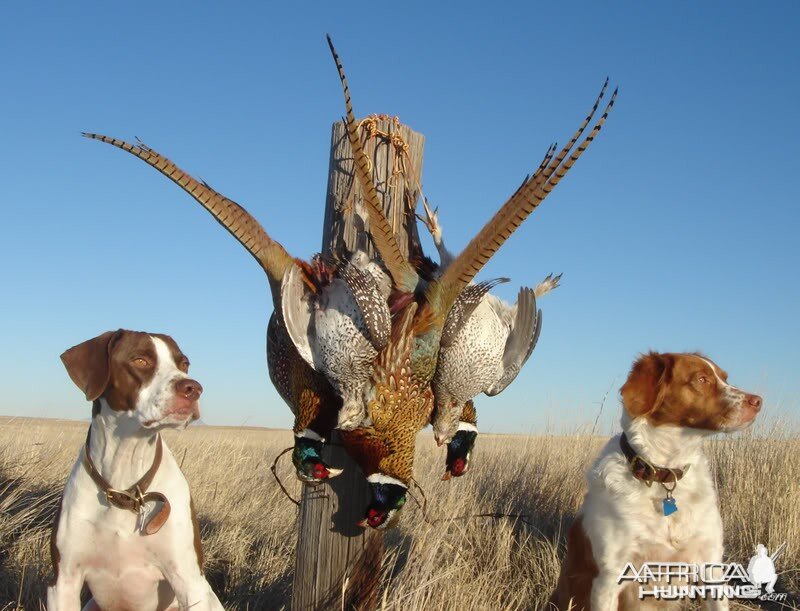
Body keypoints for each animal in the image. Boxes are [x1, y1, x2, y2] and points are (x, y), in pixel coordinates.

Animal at [48, 330, 223, 611]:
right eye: (140, 360)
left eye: (184, 364)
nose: (193, 388)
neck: (124, 484)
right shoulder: (63, 582)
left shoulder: (189, 582)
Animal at [552, 354, 764, 611]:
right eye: (701, 379)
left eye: (724, 377)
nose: (758, 401)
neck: (663, 473)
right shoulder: (608, 579)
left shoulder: (711, 567)